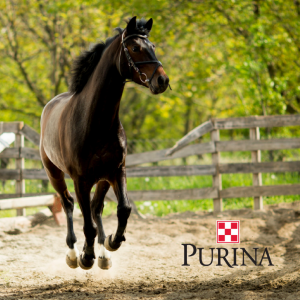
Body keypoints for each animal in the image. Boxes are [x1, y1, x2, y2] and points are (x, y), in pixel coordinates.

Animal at [40, 15, 170, 270]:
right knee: (68, 203)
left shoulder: (116, 171)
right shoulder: (80, 180)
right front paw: (85, 257)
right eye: (135, 48)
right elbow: (87, 224)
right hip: (55, 174)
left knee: (95, 207)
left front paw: (111, 242)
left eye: (153, 46)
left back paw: (102, 254)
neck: (95, 122)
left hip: (102, 179)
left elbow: (124, 209)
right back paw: (74, 254)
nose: (162, 80)